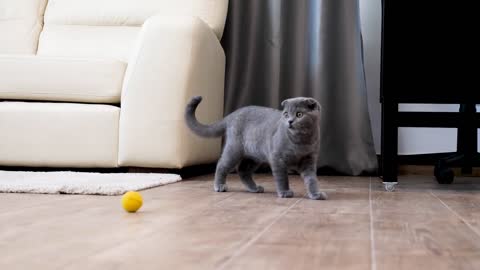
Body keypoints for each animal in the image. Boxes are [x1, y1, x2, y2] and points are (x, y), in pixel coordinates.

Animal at [184, 96, 326, 199]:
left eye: (299, 114)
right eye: (286, 114)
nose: (290, 121)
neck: (301, 141)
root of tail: (232, 114)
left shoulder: (309, 160)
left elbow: (311, 179)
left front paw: (316, 194)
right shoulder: (277, 158)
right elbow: (282, 177)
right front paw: (285, 192)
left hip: (253, 156)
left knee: (242, 170)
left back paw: (254, 188)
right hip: (234, 149)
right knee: (222, 165)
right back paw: (220, 186)